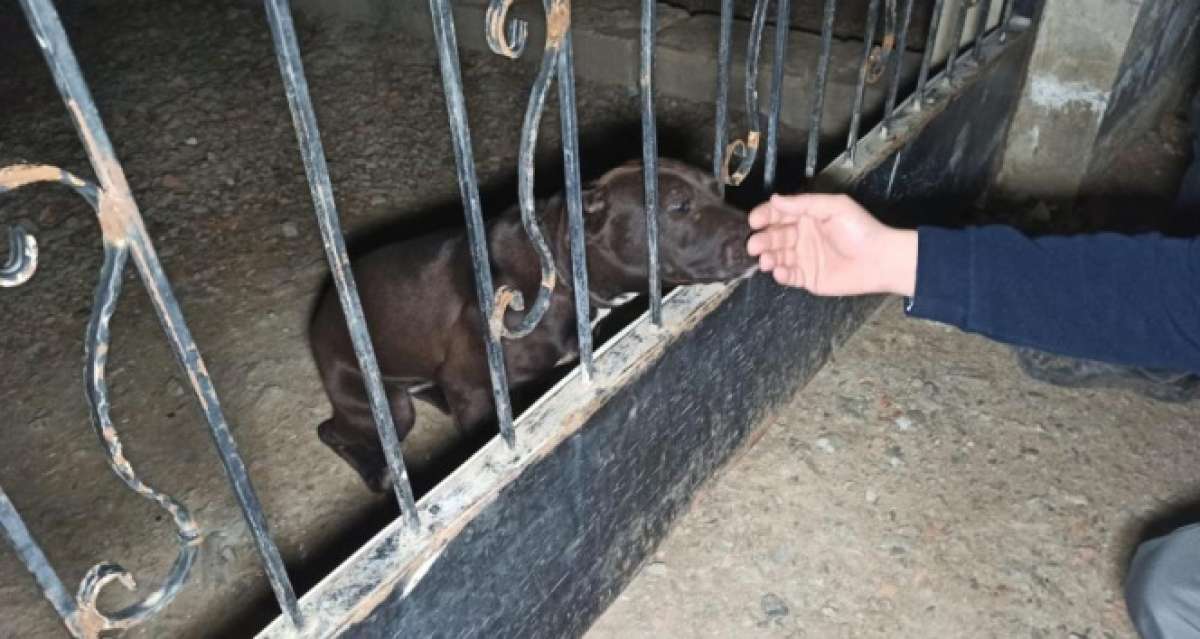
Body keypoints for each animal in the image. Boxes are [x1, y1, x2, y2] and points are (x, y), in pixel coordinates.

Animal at [314, 158, 753, 490]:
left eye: (717, 188)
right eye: (678, 206)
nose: (755, 233)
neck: (559, 269)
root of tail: (318, 317)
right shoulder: (470, 386)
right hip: (387, 407)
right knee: (331, 430)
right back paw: (377, 471)